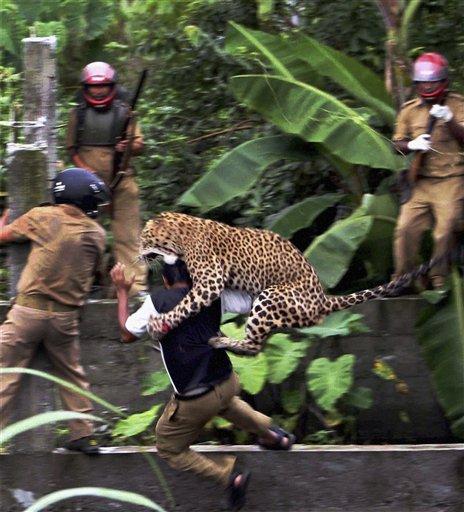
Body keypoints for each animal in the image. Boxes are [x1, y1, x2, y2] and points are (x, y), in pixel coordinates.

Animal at [138, 210, 416, 354]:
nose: (137, 254)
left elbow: (184, 305)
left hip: (271, 296)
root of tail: (322, 298)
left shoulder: (210, 282)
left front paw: (159, 324)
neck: (179, 235)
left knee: (254, 346)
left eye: (143, 238)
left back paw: (221, 341)